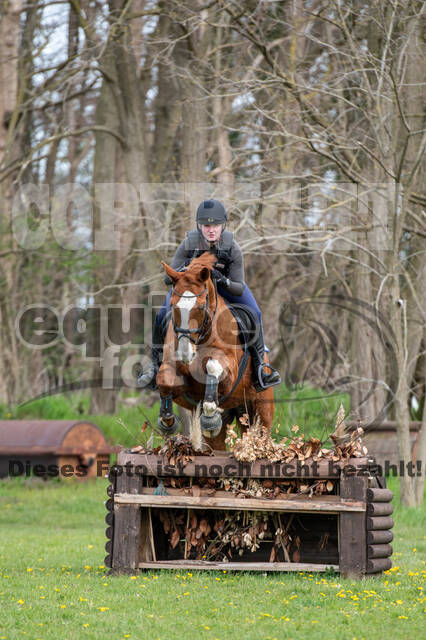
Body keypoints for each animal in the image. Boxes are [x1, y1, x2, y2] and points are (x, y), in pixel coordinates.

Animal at [155, 251, 274, 450]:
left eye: (201, 307)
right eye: (173, 306)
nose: (186, 354)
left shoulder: (230, 370)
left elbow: (212, 367)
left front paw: (210, 413)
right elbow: (164, 379)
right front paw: (167, 421)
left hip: (261, 409)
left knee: (262, 433)